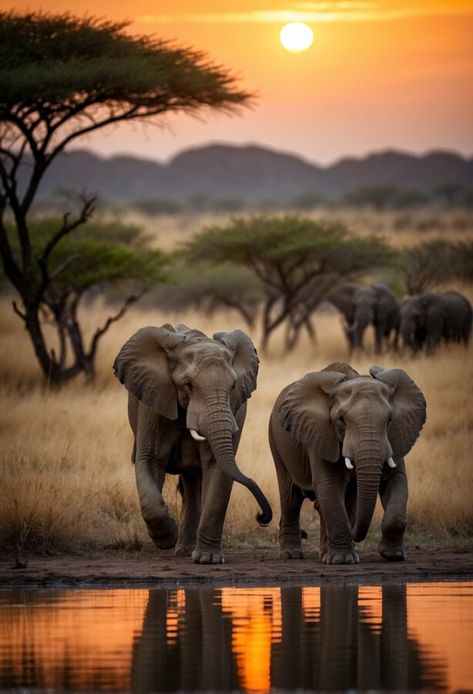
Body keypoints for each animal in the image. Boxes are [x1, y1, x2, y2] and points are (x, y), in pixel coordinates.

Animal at [112, 326, 272, 564]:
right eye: (188, 384)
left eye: (233, 386)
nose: (261, 516)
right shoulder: (152, 405)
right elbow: (149, 462)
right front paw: (166, 537)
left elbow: (217, 468)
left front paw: (208, 559)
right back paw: (181, 548)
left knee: (193, 484)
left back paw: (187, 551)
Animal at [268, 364, 426, 564]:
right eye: (341, 420)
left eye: (390, 420)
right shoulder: (320, 433)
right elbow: (328, 485)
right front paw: (342, 560)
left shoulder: (395, 437)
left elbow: (396, 479)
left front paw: (393, 556)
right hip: (276, 441)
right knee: (291, 499)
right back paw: (292, 555)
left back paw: (324, 552)